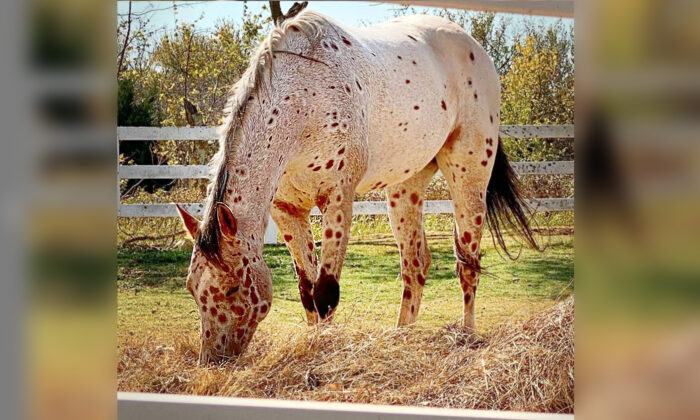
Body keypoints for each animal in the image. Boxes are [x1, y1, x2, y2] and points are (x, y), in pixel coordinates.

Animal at [174, 9, 536, 364]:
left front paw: (324, 349)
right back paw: (401, 337)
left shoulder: (337, 200)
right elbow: (307, 291)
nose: (212, 360)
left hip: (469, 174)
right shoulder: (288, 211)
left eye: (233, 289)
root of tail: (474, 47)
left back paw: (466, 336)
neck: (301, 99)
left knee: (468, 262)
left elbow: (325, 292)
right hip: (406, 185)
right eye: (192, 288)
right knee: (415, 264)